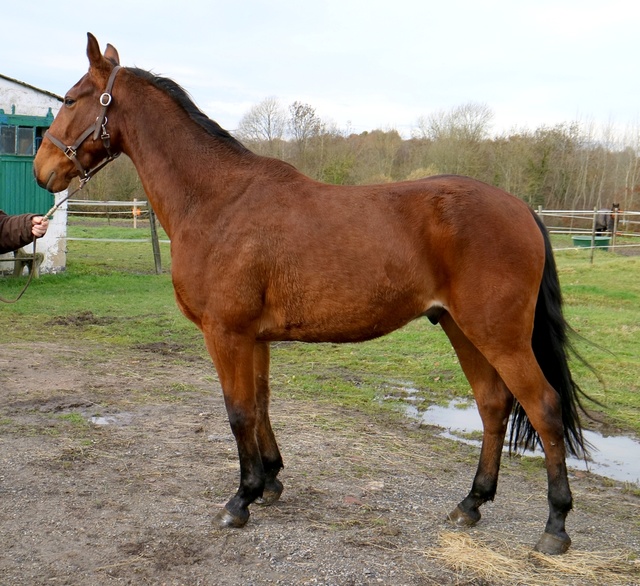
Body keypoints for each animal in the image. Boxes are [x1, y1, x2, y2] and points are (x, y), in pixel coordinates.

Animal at [33, 34, 592, 556]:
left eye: (70, 98)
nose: (43, 169)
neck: (218, 199)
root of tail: (521, 209)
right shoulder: (254, 338)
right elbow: (260, 404)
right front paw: (270, 481)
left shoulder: (226, 334)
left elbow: (238, 411)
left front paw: (241, 499)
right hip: (461, 329)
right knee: (493, 405)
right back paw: (471, 504)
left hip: (499, 336)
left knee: (543, 407)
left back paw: (555, 526)